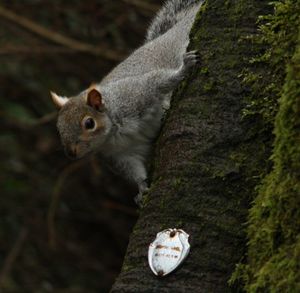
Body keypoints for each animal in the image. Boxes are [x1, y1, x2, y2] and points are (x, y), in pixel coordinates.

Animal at [50, 0, 203, 204]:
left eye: (89, 123)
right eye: (59, 128)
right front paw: (141, 189)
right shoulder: (121, 155)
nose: (71, 153)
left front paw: (184, 69)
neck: (114, 133)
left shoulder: (136, 93)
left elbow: (158, 81)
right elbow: (133, 170)